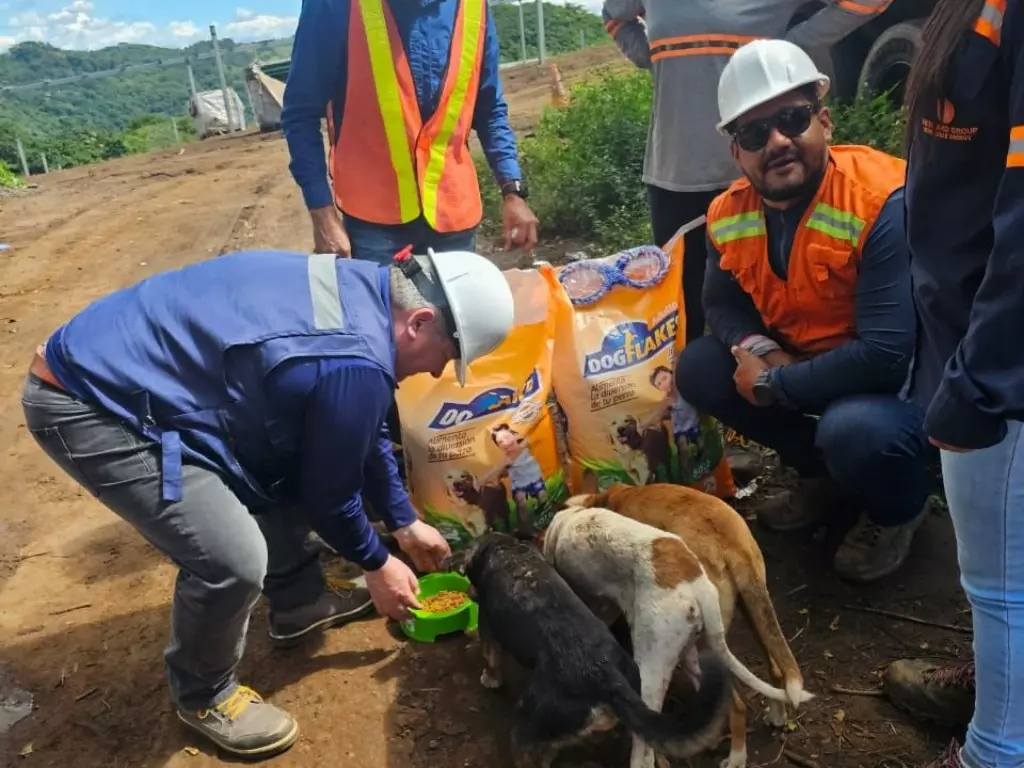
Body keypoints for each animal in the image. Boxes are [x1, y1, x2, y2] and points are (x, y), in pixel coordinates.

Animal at [448, 536, 729, 768]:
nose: (468, 593)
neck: (508, 549)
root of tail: (608, 678)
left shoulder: (487, 626)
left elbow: (490, 658)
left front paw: (489, 679)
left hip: (527, 725)